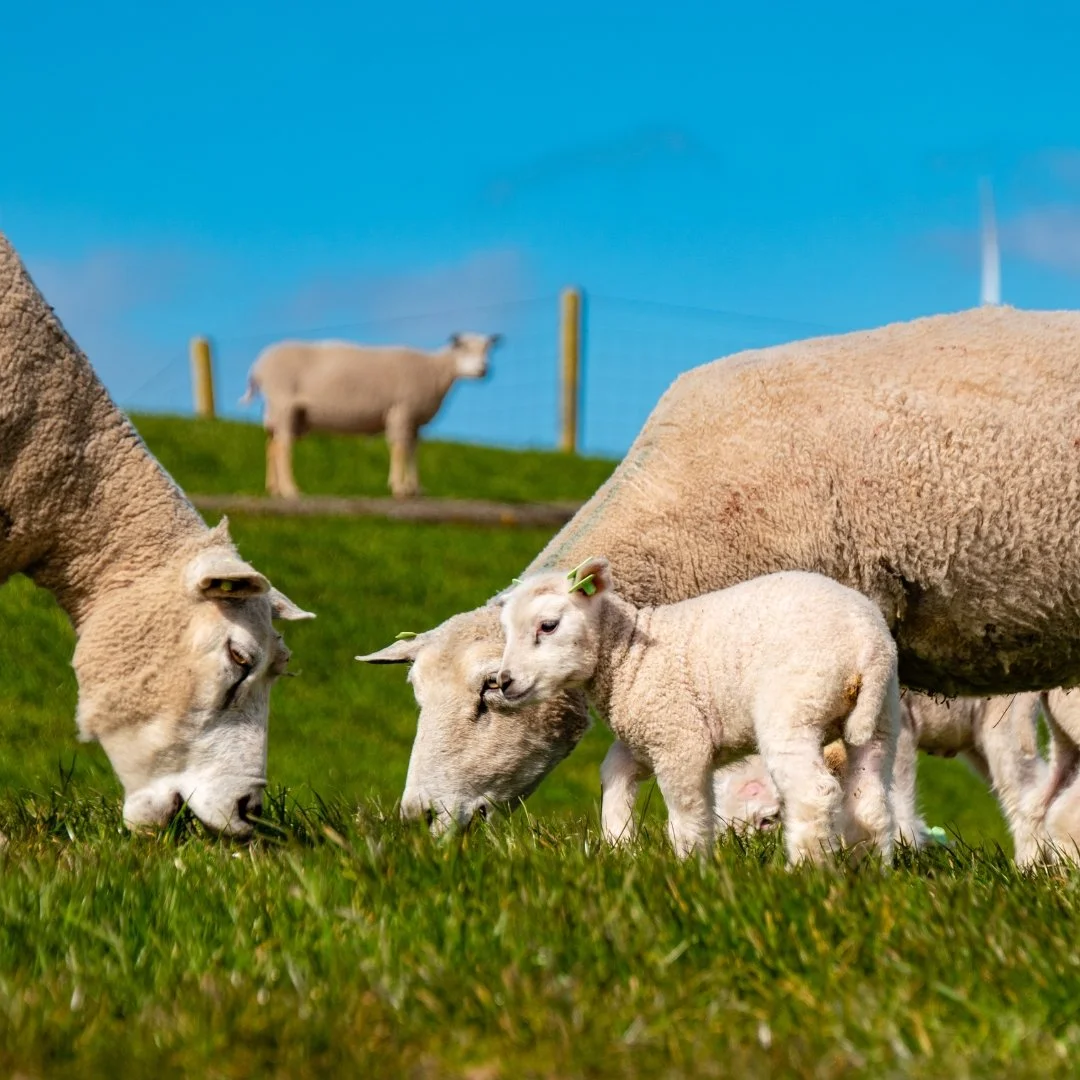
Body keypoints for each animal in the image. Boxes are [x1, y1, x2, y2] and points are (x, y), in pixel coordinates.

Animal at [241, 332, 501, 499]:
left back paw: (274, 488)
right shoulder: (401, 410)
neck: (435, 371)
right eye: (464, 347)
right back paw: (290, 491)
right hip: (283, 402)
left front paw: (415, 489)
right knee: (283, 447)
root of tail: (258, 366)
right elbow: (399, 448)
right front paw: (399, 488)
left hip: (289, 413)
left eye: (487, 349)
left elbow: (413, 450)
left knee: (272, 444)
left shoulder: (414, 420)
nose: (484, 369)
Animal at [495, 560, 900, 863]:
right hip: (880, 720)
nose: (503, 681)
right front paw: (620, 843)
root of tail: (868, 643)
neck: (628, 654)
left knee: (813, 795)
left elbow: (687, 815)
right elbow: (614, 774)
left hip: (793, 708)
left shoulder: (678, 737)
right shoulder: (648, 737)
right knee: (870, 804)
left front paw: (690, 867)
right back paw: (869, 872)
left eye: (548, 626)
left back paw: (804, 872)